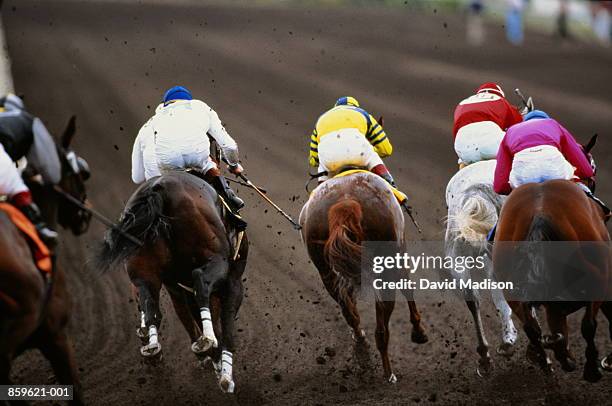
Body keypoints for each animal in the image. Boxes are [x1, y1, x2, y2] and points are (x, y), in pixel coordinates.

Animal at [94, 171, 247, 394]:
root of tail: (159, 190)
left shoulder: (176, 286)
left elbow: (187, 314)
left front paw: (212, 361)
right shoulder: (233, 282)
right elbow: (225, 329)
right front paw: (224, 375)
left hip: (143, 271)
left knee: (150, 305)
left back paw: (153, 347)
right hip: (216, 260)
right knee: (200, 282)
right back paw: (207, 342)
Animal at [300, 171, 426, 384]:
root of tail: (345, 204)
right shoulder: (400, 254)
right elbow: (408, 290)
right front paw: (419, 332)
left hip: (325, 269)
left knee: (349, 312)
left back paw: (361, 346)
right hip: (387, 264)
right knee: (381, 328)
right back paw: (388, 373)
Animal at [494, 179, 608, 382]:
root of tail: (540, 212)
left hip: (512, 287)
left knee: (532, 328)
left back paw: (549, 359)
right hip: (597, 275)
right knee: (587, 325)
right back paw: (588, 368)